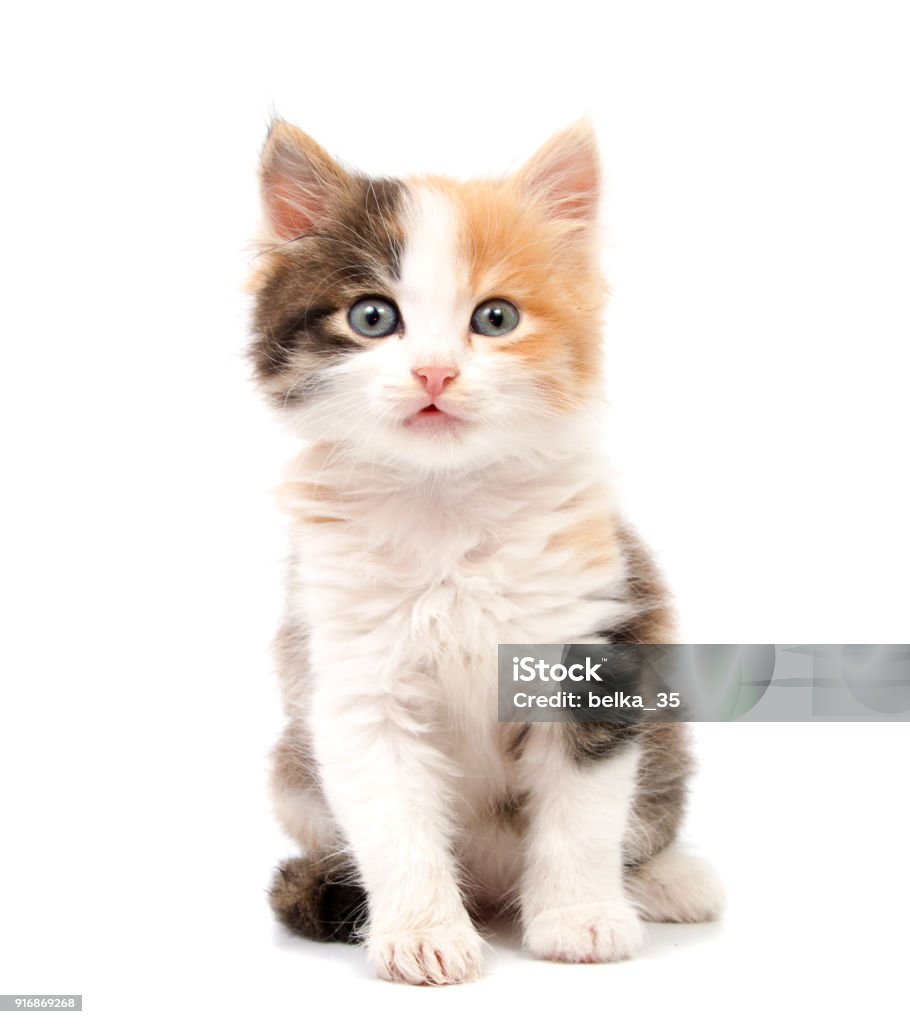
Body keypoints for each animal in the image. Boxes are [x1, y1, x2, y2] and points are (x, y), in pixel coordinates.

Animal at [251, 119, 720, 983]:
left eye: (495, 319)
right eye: (373, 318)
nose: (435, 372)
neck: (448, 504)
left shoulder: (596, 648)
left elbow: (583, 811)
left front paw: (579, 918)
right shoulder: (356, 677)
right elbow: (395, 820)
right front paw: (422, 935)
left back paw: (664, 881)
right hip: (292, 775)